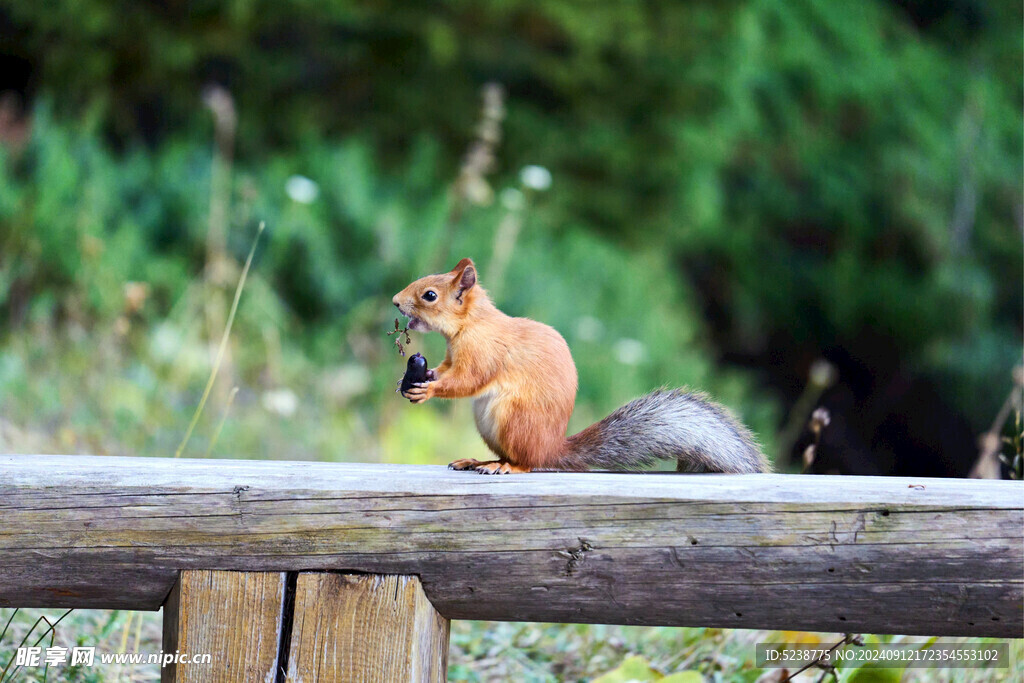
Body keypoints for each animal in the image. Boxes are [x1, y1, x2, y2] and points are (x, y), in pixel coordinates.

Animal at [391, 258, 770, 475]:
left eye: (430, 295)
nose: (395, 302)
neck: (471, 325)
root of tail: (552, 448)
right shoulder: (452, 356)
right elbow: (446, 369)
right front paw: (416, 378)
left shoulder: (484, 353)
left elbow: (467, 380)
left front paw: (429, 388)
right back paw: (479, 462)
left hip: (511, 417)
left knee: (528, 463)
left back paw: (507, 467)